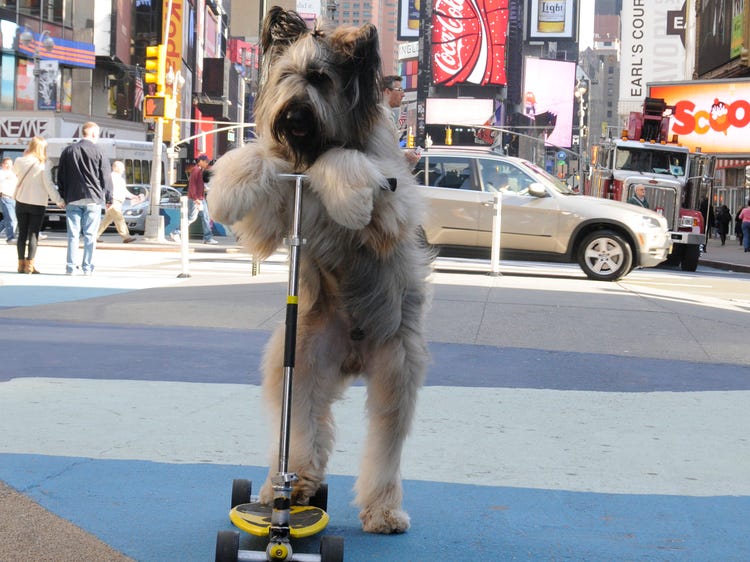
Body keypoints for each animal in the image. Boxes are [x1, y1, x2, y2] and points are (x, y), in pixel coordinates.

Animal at [206, 6, 432, 532]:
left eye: (320, 79)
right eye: (286, 76)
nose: (292, 116)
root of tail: (352, 355)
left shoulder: (393, 209)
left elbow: (343, 161)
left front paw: (347, 194)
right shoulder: (274, 215)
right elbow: (260, 158)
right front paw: (229, 183)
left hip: (397, 370)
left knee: (384, 442)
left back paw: (382, 510)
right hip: (301, 361)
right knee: (303, 428)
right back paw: (289, 489)